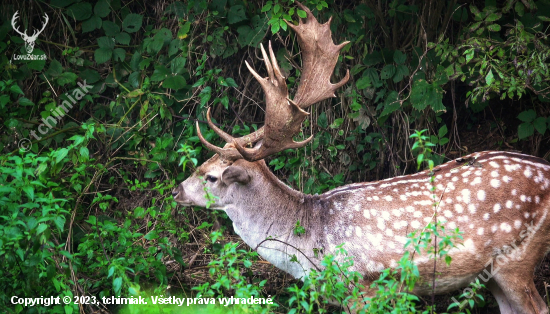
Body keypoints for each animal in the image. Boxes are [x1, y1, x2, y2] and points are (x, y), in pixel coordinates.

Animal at [175, 1, 550, 312]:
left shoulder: (362, 286)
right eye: (202, 164)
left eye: (211, 176)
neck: (309, 243)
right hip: (494, 273)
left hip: (517, 258)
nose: (176, 191)